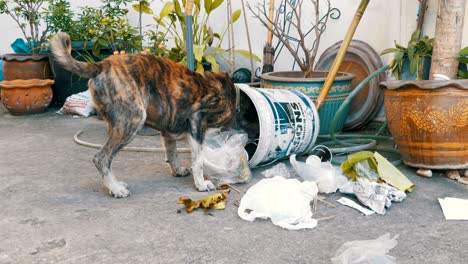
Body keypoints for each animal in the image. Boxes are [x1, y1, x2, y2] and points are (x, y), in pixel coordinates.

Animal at [51, 32, 238, 198]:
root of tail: (101, 65)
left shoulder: (168, 130)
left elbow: (172, 153)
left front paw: (177, 170)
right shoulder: (196, 122)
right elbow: (198, 160)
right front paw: (201, 184)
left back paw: (113, 186)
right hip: (133, 119)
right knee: (101, 158)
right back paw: (116, 188)